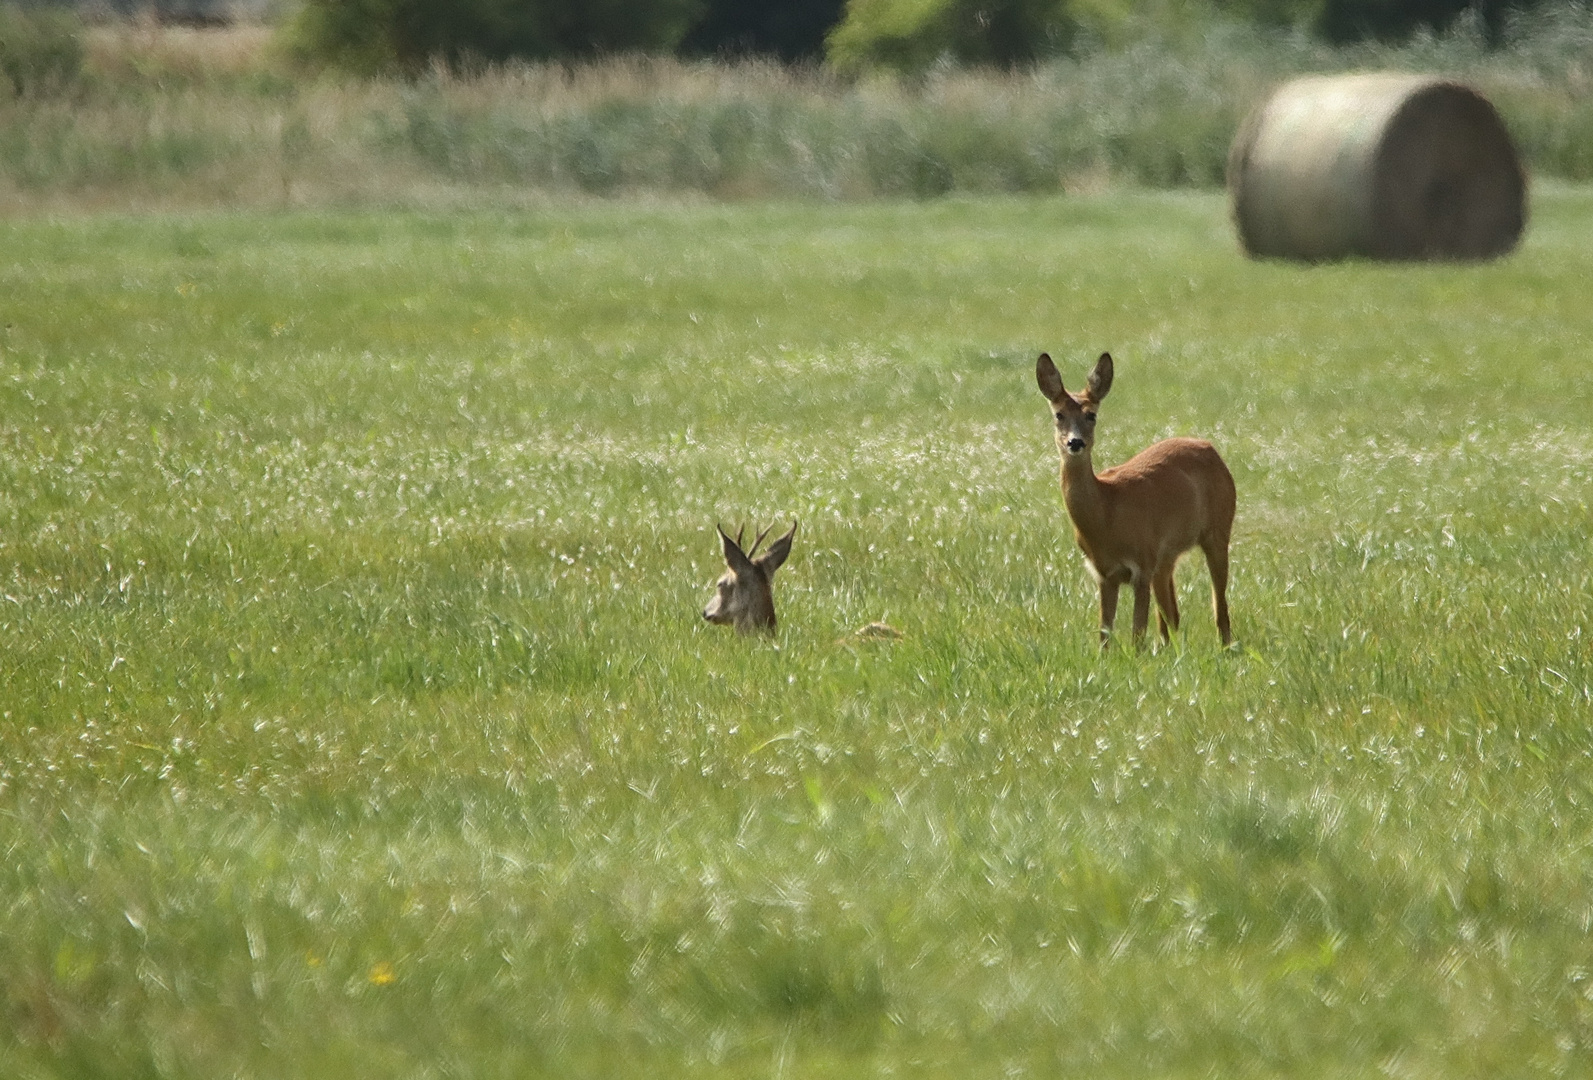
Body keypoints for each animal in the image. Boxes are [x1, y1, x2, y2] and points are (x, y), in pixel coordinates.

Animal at [1038, 350, 1236, 646]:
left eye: (1091, 415)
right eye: (1058, 414)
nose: (1075, 442)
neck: (1107, 512)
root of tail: (1211, 448)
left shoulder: (1141, 564)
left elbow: (1137, 634)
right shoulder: (1104, 574)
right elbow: (1104, 635)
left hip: (1218, 529)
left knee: (1219, 607)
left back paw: (1225, 647)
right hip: (1166, 557)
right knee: (1171, 616)